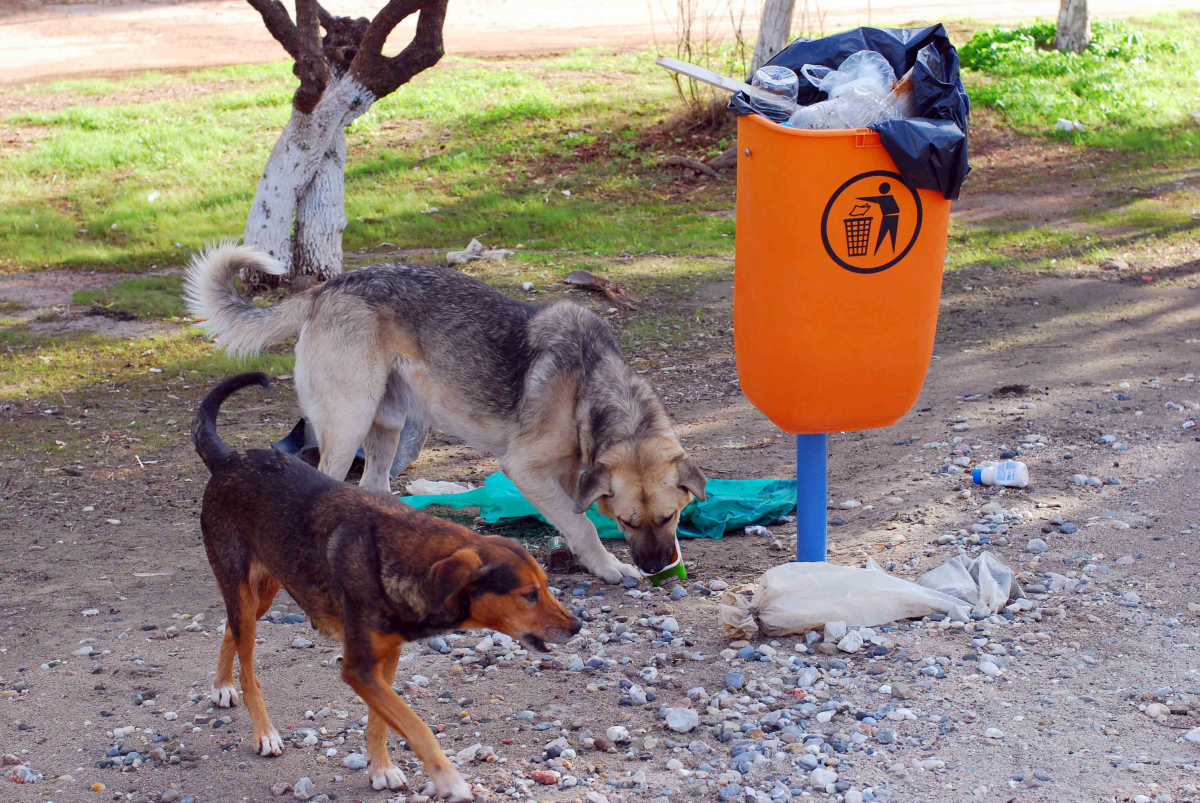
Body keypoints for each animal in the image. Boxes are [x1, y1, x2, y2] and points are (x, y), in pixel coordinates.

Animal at [186, 244, 700, 583]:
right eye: (629, 522)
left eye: (671, 517)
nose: (660, 568)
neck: (589, 385)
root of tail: (329, 287)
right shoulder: (526, 470)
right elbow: (582, 525)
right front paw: (610, 566)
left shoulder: (573, 474)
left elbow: (577, 516)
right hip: (350, 420)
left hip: (388, 424)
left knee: (372, 487)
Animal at [192, 372, 580, 796]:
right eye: (528, 595)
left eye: (546, 586)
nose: (578, 626)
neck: (404, 556)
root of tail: (230, 460)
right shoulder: (358, 668)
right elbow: (414, 723)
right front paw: (447, 777)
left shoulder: (387, 657)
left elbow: (382, 721)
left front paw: (381, 767)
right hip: (243, 587)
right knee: (249, 670)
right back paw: (263, 730)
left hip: (267, 588)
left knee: (231, 628)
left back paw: (222, 685)